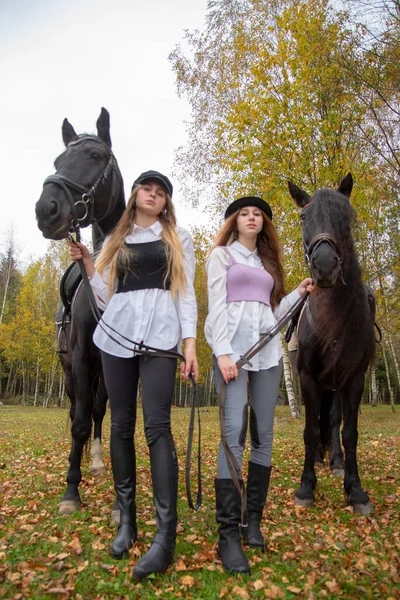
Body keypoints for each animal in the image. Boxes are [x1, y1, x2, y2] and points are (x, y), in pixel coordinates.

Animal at [288, 173, 376, 516]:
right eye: (303, 217)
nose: (324, 267)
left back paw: (336, 461)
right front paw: (306, 487)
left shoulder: (354, 379)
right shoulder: (308, 378)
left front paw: (356, 490)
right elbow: (310, 431)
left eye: (346, 217)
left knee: (335, 421)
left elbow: (349, 432)